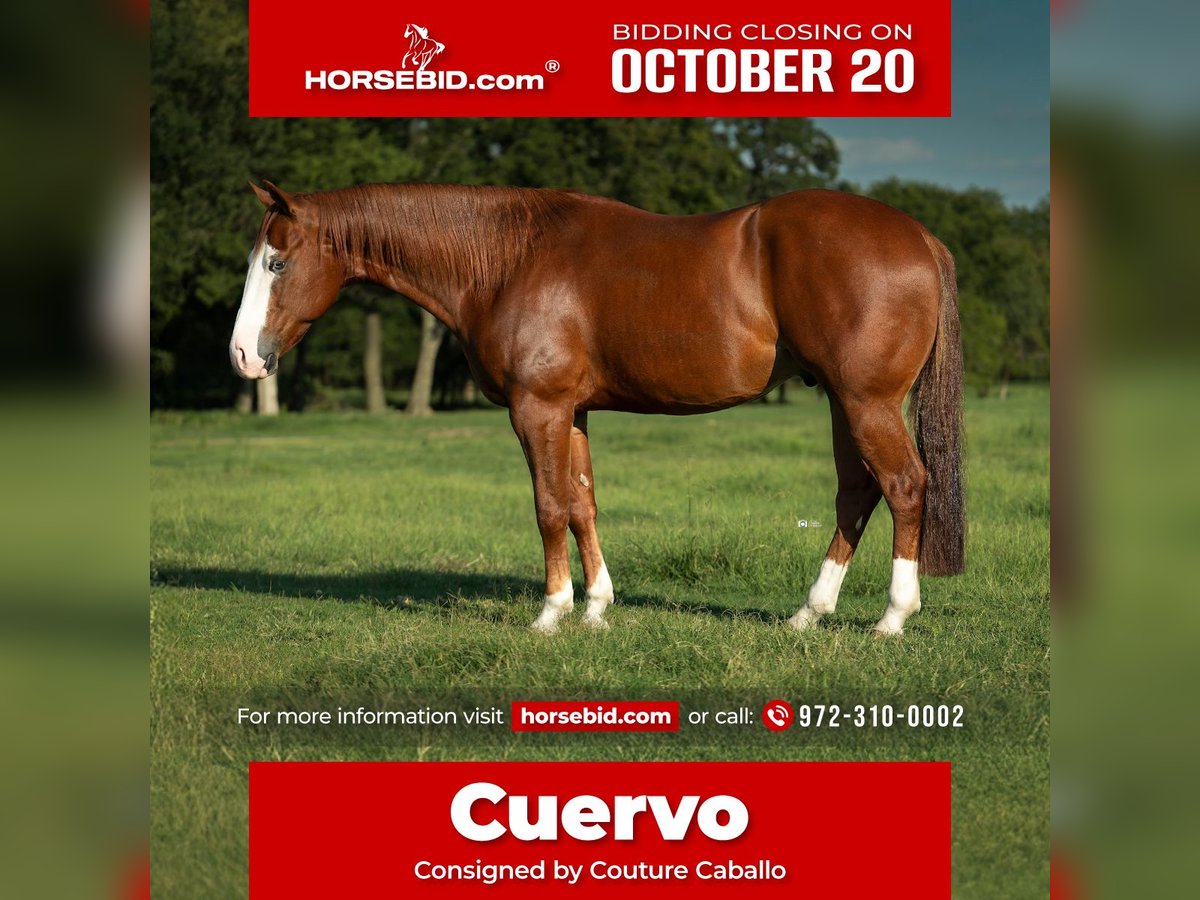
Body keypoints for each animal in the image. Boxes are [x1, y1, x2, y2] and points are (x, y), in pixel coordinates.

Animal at [229, 181, 965, 636]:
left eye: (276, 261)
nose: (242, 355)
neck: (507, 259)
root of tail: (922, 237)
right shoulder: (573, 412)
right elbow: (582, 502)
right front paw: (596, 607)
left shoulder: (537, 409)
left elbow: (549, 505)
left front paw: (551, 611)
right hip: (843, 402)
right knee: (856, 494)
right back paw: (810, 613)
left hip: (866, 403)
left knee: (903, 486)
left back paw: (893, 617)